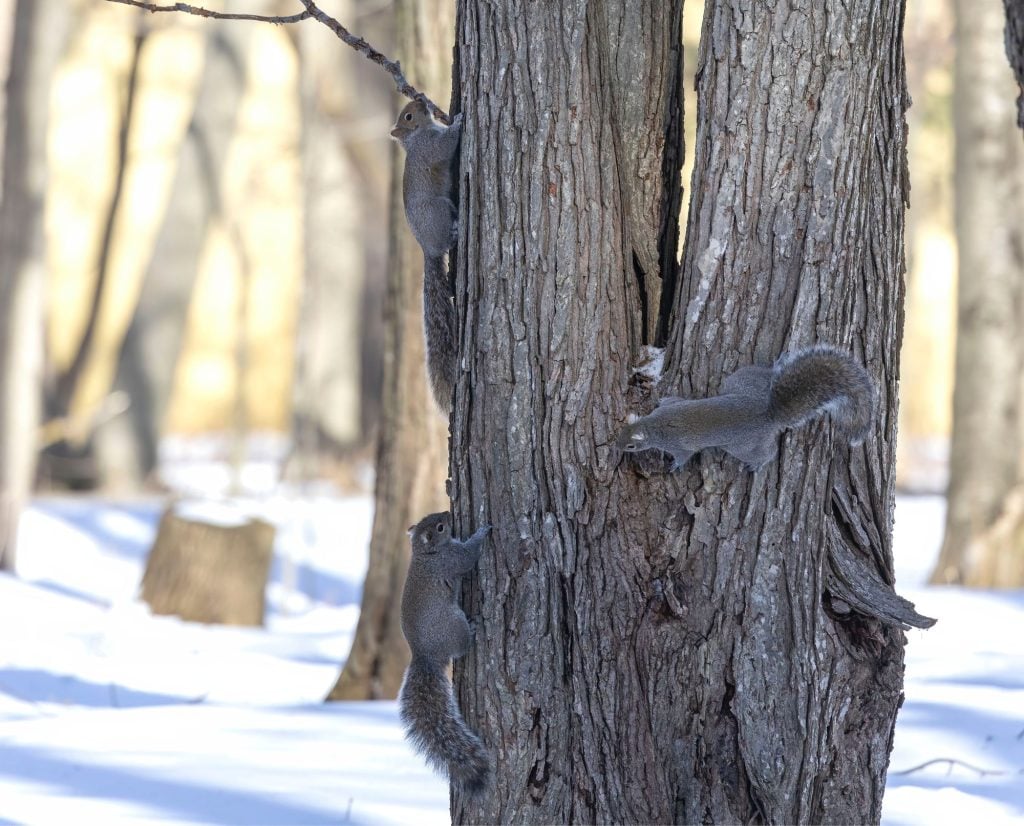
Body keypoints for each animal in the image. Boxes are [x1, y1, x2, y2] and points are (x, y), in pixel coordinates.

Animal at [399, 511, 491, 795]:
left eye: (435, 519)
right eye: (440, 527)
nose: (449, 514)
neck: (426, 552)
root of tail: (424, 656)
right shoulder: (450, 559)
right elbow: (468, 556)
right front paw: (482, 533)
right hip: (454, 624)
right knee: (460, 648)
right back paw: (473, 630)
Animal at [616, 346, 876, 471]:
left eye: (630, 446)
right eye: (620, 433)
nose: (616, 448)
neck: (654, 425)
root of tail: (768, 414)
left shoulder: (678, 446)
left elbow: (683, 457)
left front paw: (674, 467)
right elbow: (673, 401)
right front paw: (663, 399)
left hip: (743, 447)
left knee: (767, 453)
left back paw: (758, 464)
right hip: (744, 382)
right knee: (766, 376)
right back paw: (778, 364)